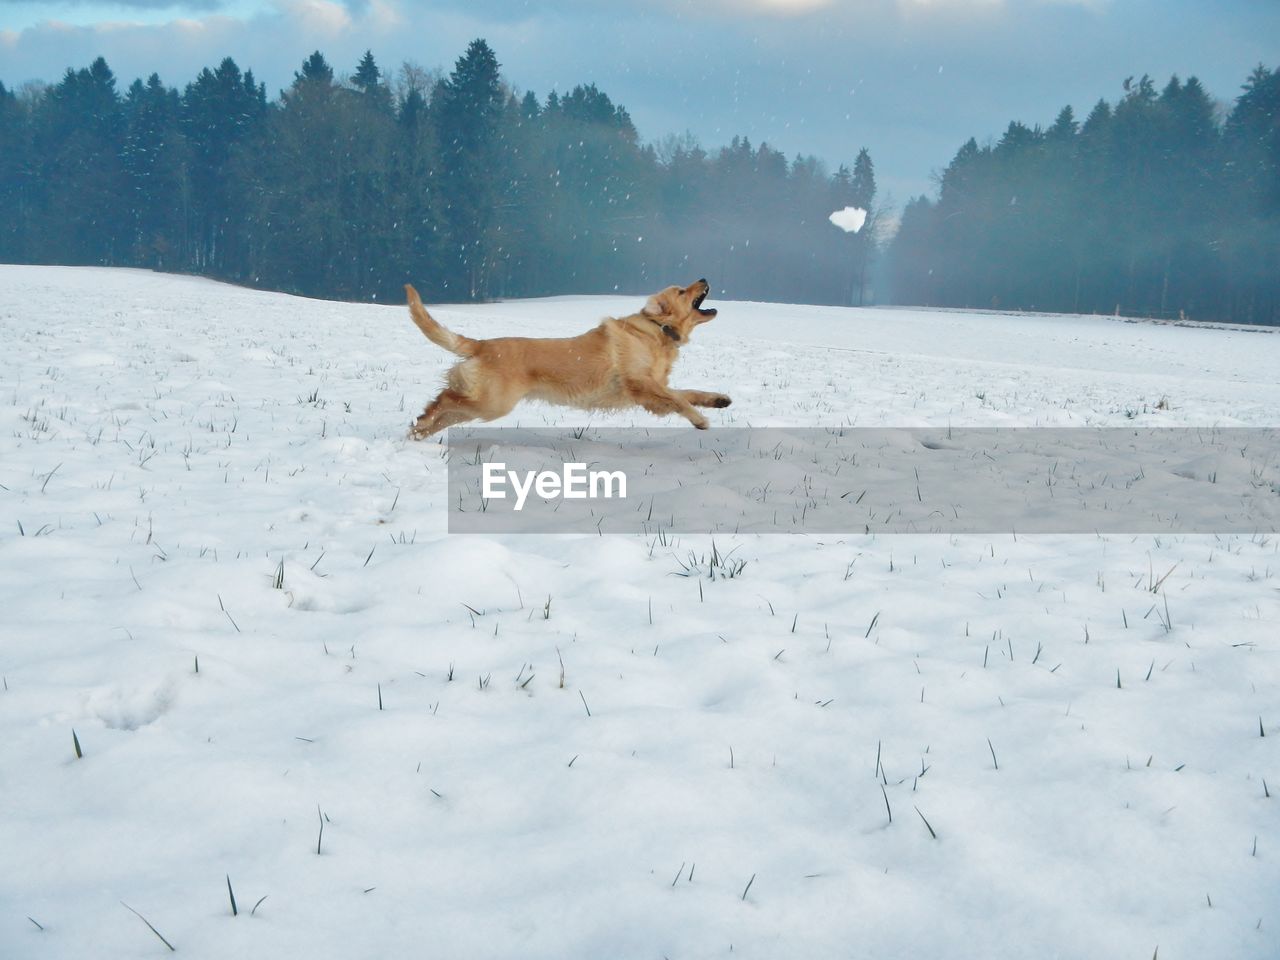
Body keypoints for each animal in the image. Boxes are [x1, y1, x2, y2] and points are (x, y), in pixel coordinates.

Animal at [404, 277, 737, 440]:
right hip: (491, 403)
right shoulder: (641, 385)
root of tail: (482, 345)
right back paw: (421, 424)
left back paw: (419, 432)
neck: (658, 330)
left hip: (480, 405)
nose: (703, 276)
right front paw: (699, 420)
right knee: (445, 399)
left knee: (442, 409)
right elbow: (679, 399)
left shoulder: (653, 392)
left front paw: (717, 400)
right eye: (681, 291)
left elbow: (687, 392)